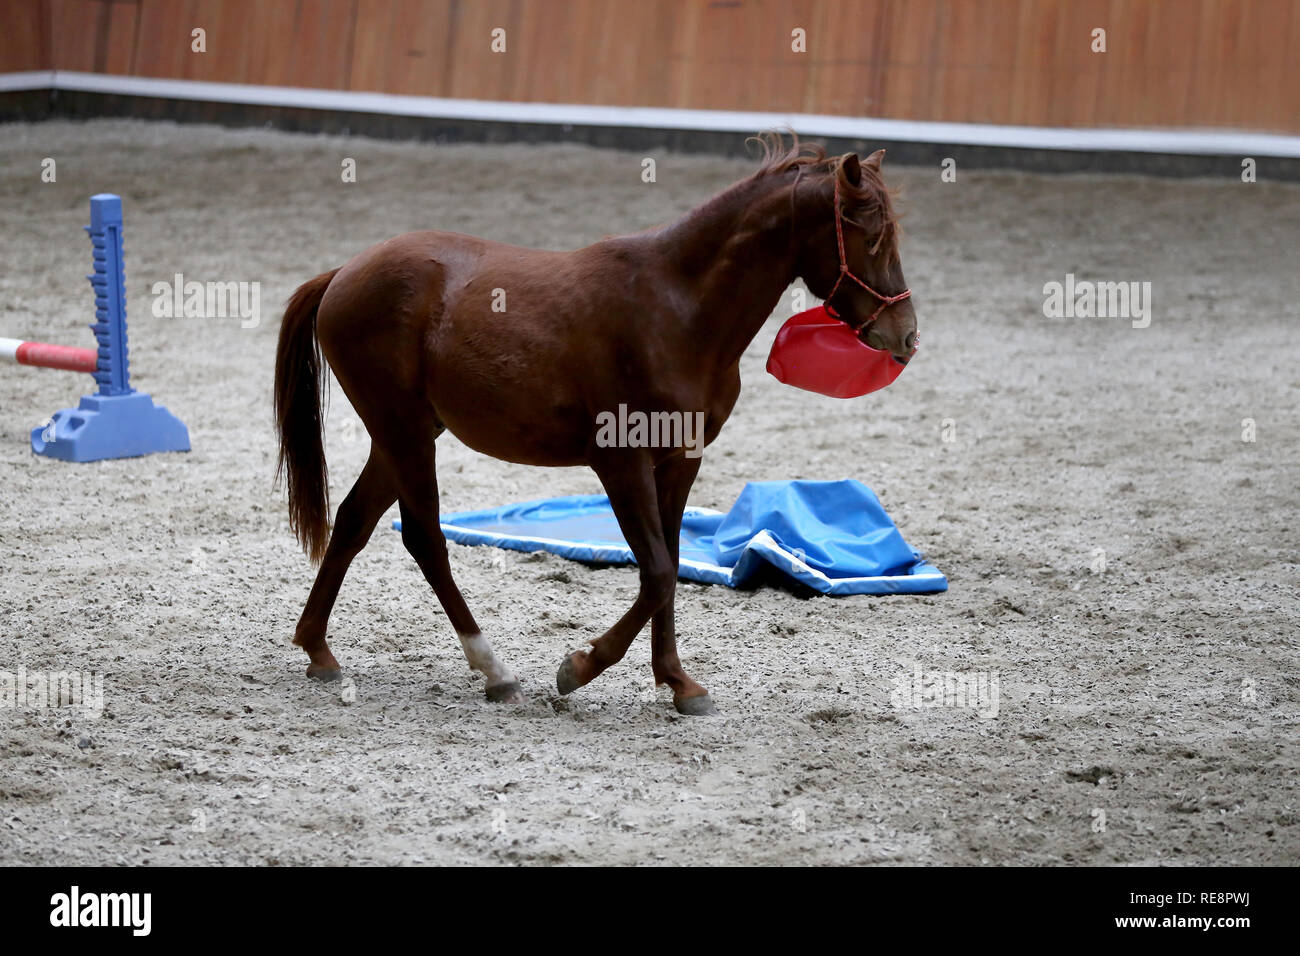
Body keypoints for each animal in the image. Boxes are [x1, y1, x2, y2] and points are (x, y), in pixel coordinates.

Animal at [273, 132, 916, 716]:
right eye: (869, 235)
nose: (906, 336)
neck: (677, 309)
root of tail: (344, 274)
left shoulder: (680, 461)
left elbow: (672, 567)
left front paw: (678, 682)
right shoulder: (620, 461)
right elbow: (656, 571)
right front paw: (579, 668)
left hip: (405, 434)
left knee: (354, 522)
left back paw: (319, 650)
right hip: (403, 432)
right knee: (425, 539)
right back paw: (494, 670)